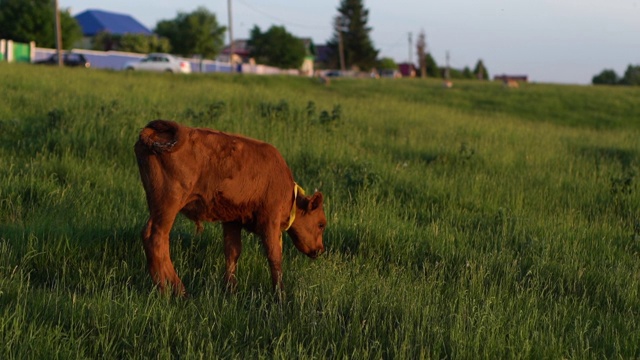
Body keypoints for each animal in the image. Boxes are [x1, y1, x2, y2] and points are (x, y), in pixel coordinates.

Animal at [133, 121, 328, 296]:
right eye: (321, 224)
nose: (320, 250)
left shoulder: (232, 220)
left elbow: (232, 252)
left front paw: (231, 289)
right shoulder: (270, 221)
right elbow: (275, 256)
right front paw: (280, 294)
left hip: (158, 207)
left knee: (152, 238)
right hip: (169, 205)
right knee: (157, 239)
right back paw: (175, 290)